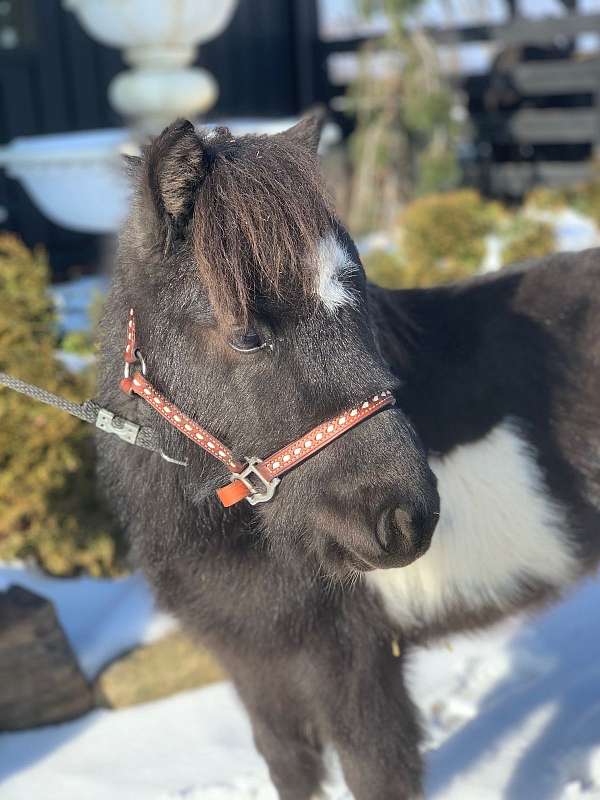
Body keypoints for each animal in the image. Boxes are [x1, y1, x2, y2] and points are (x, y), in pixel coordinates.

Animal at [96, 116, 600, 800]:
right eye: (246, 335)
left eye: (362, 305)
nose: (406, 520)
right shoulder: (259, 675)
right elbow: (290, 770)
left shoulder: (356, 674)